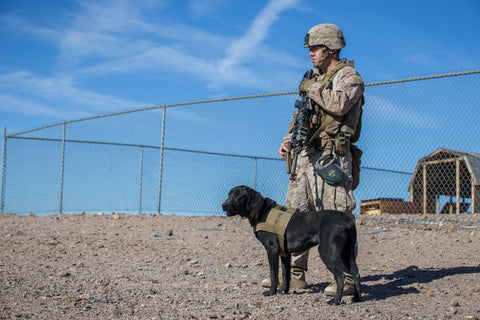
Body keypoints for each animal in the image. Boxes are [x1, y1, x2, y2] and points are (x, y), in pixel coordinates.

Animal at [221, 185, 360, 304]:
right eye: (229, 194)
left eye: (239, 195)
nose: (224, 205)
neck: (262, 211)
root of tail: (348, 221)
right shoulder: (285, 254)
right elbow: (285, 273)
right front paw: (284, 291)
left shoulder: (272, 249)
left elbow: (273, 273)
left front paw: (271, 292)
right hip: (347, 254)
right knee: (355, 273)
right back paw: (356, 298)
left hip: (327, 252)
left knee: (340, 276)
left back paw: (336, 300)